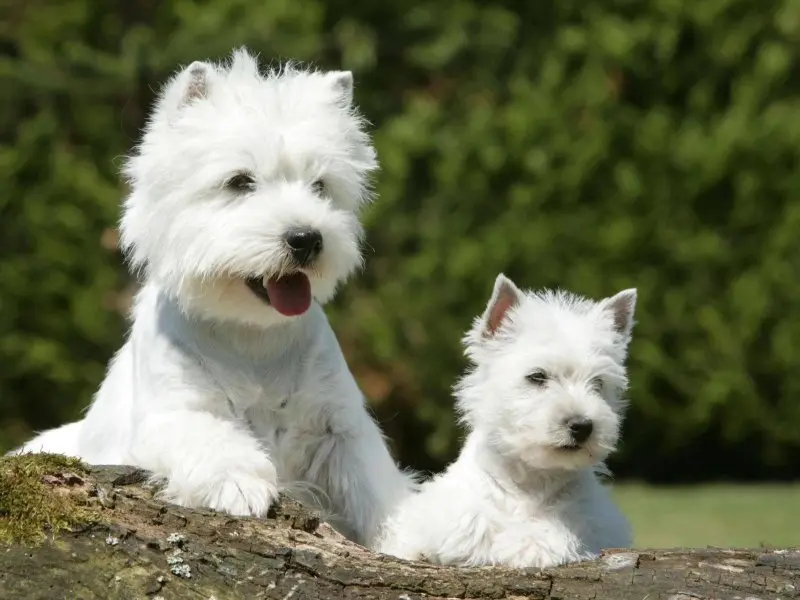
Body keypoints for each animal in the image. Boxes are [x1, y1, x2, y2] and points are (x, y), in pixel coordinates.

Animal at [15, 48, 416, 548]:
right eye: (239, 182)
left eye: (321, 186)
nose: (306, 238)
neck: (253, 337)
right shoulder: (173, 413)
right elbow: (211, 436)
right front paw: (240, 485)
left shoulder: (338, 425)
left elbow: (373, 483)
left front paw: (414, 533)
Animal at [378, 274, 636, 564]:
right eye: (537, 376)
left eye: (598, 383)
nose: (582, 426)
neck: (530, 478)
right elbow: (461, 521)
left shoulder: (592, 518)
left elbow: (559, 526)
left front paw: (525, 545)